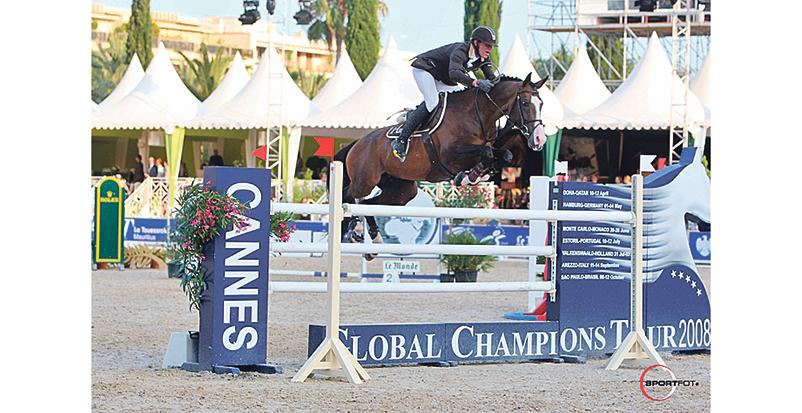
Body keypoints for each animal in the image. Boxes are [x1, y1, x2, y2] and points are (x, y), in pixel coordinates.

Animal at [332, 71, 552, 258]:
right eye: (525, 103)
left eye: (541, 103)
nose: (539, 140)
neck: (476, 114)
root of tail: (357, 143)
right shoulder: (449, 155)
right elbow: (487, 152)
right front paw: (470, 175)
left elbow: (503, 154)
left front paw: (475, 175)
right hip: (365, 181)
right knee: (348, 197)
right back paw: (354, 229)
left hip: (401, 192)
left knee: (367, 204)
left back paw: (373, 242)